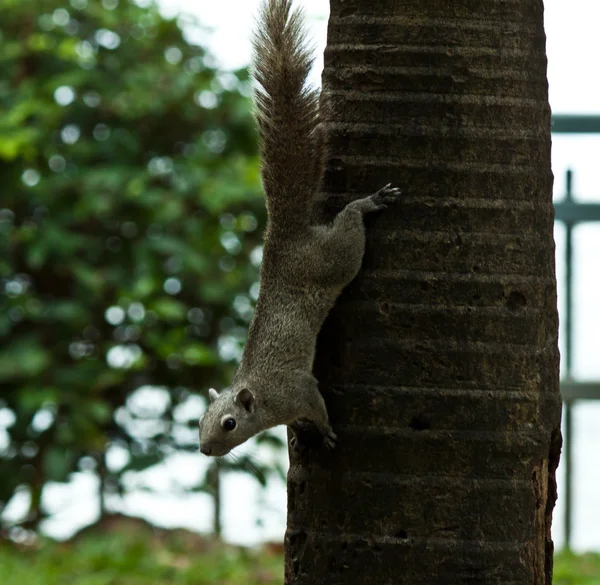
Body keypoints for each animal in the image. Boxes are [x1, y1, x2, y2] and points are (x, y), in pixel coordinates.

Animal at [199, 0, 400, 456]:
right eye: (200, 420)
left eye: (229, 423)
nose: (204, 449)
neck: (263, 398)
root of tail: (281, 235)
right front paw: (308, 430)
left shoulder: (296, 390)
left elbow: (317, 404)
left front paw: (324, 429)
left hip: (335, 259)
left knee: (349, 226)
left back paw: (368, 203)